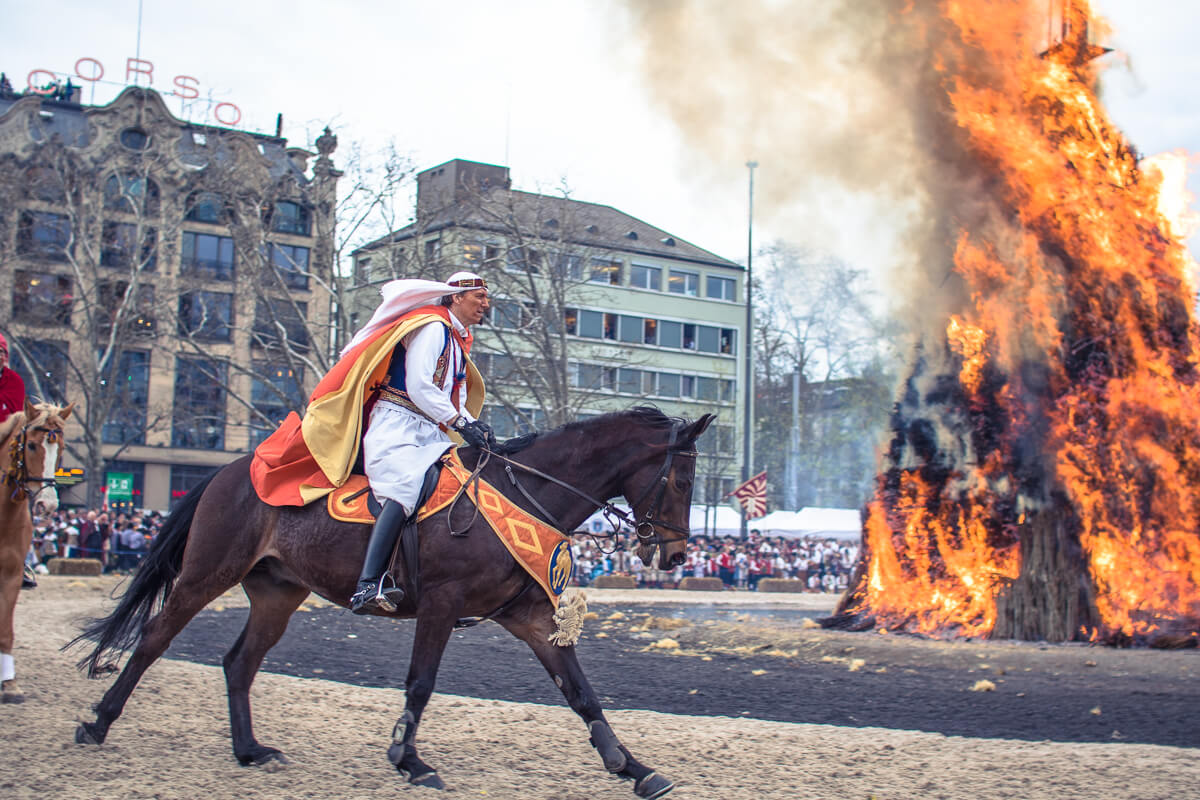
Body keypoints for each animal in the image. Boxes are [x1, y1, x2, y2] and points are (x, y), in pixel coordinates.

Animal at [72, 410, 710, 796]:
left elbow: (580, 692)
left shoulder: (527, 617)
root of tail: (230, 472)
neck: (526, 492)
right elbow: (421, 684)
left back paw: (250, 750)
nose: (677, 555)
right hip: (206, 575)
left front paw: (632, 767)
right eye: (682, 482)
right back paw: (98, 723)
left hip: (278, 594)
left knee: (239, 663)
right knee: (155, 639)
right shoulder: (442, 606)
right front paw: (408, 757)